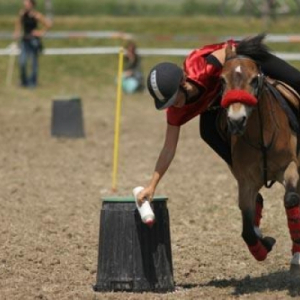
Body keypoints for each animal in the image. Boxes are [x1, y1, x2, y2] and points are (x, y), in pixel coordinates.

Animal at [218, 34, 300, 274]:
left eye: (254, 80)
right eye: (222, 81)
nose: (236, 121)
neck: (261, 135)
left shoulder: (290, 167)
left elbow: (291, 200)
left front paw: (296, 256)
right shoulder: (246, 182)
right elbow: (246, 227)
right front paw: (264, 245)